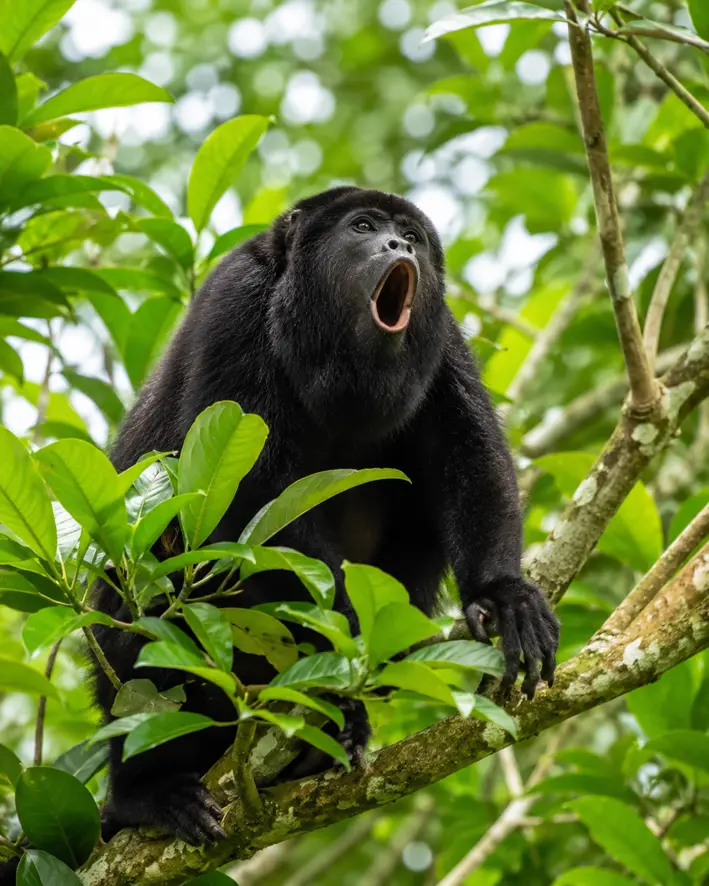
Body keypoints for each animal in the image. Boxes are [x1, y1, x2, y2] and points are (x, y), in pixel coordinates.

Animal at [90, 186, 559, 846]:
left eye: (412, 237)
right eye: (362, 227)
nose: (397, 245)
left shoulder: (442, 334)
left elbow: (469, 454)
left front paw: (504, 595)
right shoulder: (234, 300)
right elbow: (251, 492)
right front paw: (346, 661)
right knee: (145, 621)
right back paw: (144, 793)